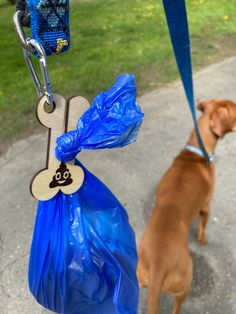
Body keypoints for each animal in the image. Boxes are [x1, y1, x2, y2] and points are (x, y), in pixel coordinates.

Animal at [137, 99, 236, 312]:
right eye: (235, 108)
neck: (196, 151)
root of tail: (158, 266)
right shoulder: (206, 207)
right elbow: (202, 227)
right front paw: (202, 239)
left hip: (139, 277)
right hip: (184, 285)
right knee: (176, 308)